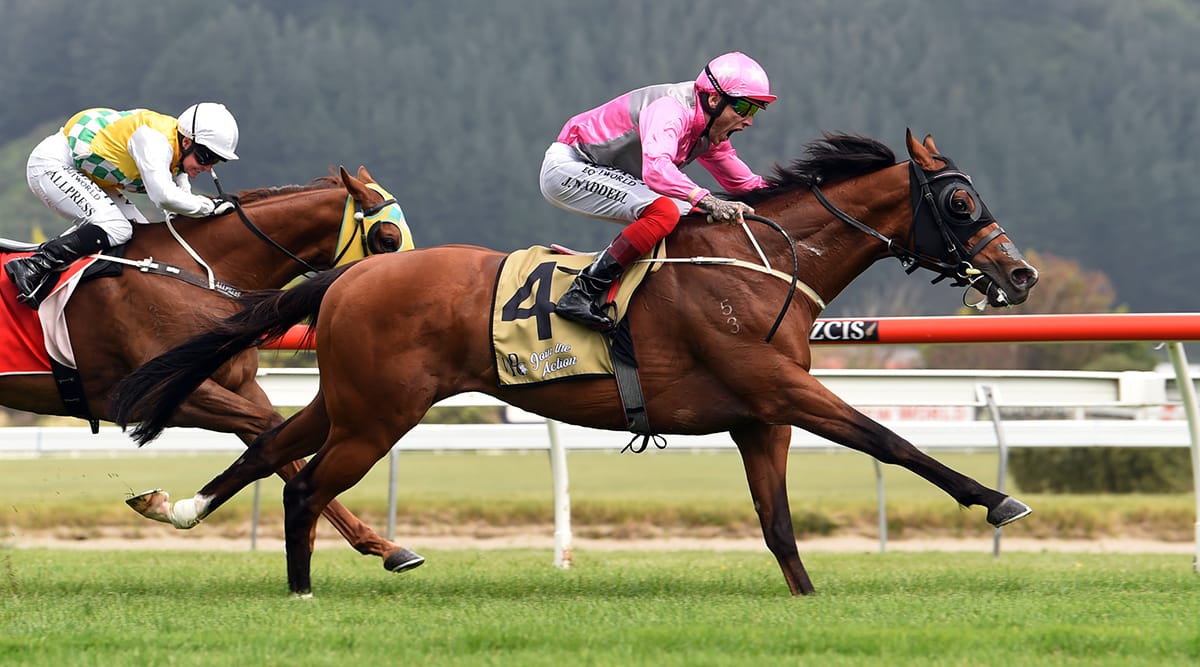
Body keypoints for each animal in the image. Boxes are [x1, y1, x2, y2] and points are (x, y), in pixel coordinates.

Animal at [2, 166, 425, 573]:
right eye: (387, 239)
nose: (405, 284)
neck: (196, 272)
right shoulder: (162, 395)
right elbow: (271, 430)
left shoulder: (239, 386)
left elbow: (278, 447)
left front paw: (387, 548)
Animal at [112, 131, 1039, 597]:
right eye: (961, 200)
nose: (1021, 274)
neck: (764, 265)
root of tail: (352, 272)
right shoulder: (781, 386)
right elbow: (889, 440)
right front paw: (998, 499)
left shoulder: (760, 416)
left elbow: (778, 521)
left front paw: (806, 598)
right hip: (379, 414)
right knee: (304, 482)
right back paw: (305, 587)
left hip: (348, 399)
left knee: (270, 448)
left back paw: (183, 508)